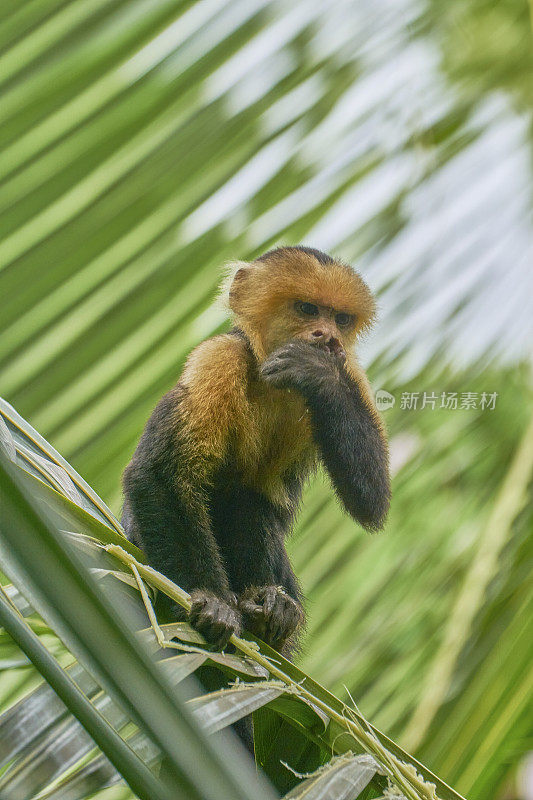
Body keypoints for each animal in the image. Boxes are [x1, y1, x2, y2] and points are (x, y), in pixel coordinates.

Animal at [123, 248, 390, 656]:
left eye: (340, 319)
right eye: (308, 309)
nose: (327, 335)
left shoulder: (350, 370)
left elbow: (372, 499)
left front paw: (318, 372)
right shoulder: (220, 355)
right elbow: (160, 473)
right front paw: (211, 600)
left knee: (249, 500)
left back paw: (270, 608)